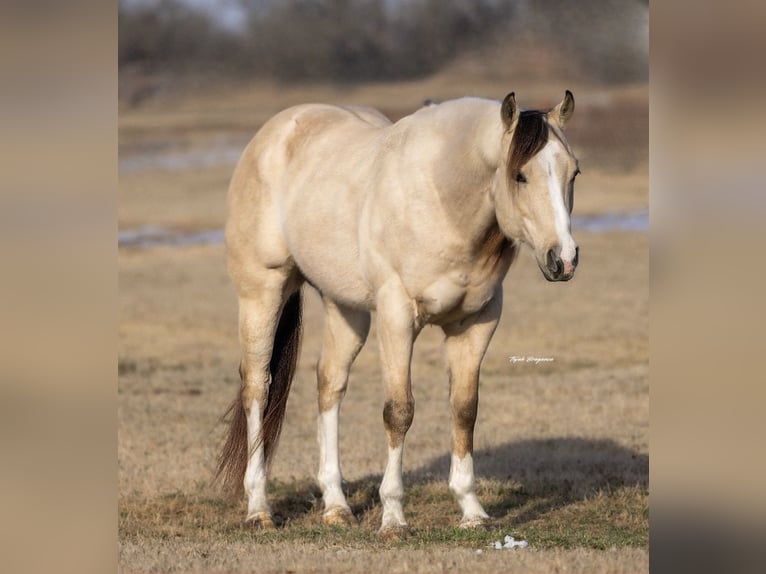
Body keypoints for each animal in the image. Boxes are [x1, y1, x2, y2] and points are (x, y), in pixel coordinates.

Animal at [217, 91, 580, 536]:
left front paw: (472, 510)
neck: (442, 199)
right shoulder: (397, 317)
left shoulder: (475, 323)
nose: (563, 259)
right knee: (257, 388)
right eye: (520, 176)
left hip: (346, 308)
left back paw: (336, 506)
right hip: (262, 293)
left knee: (329, 384)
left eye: (574, 173)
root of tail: (272, 134)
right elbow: (399, 411)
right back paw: (259, 508)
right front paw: (393, 517)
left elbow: (465, 409)